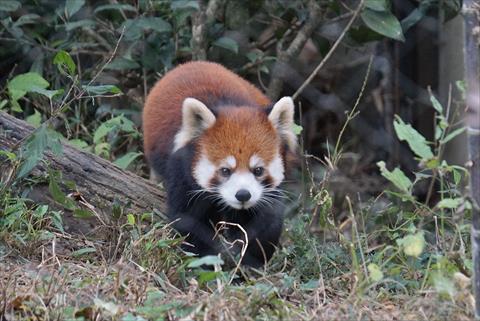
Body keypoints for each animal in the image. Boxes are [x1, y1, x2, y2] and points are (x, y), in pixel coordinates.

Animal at [142, 61, 296, 266]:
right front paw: (205, 260)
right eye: (225, 170)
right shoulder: (181, 169)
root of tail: (191, 63)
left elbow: (266, 220)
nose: (243, 194)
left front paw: (252, 260)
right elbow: (188, 220)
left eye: (258, 170)